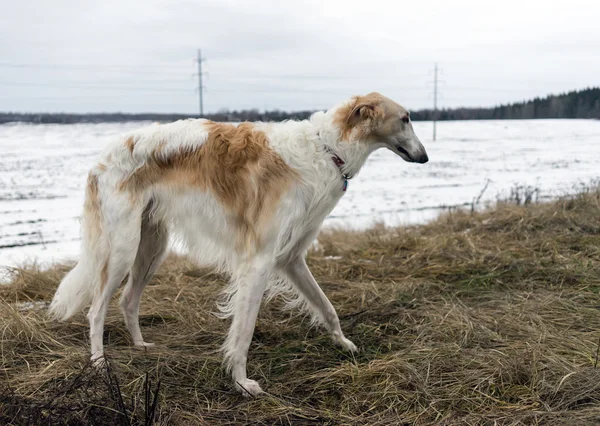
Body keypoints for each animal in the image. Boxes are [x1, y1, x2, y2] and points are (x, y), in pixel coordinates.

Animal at [50, 92, 426, 396]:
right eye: (406, 118)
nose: (424, 157)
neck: (326, 150)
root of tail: (102, 158)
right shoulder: (259, 260)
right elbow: (244, 330)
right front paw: (242, 382)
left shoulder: (290, 257)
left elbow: (326, 306)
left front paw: (344, 343)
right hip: (123, 248)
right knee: (96, 309)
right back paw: (99, 363)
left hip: (153, 245)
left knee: (128, 299)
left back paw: (141, 345)